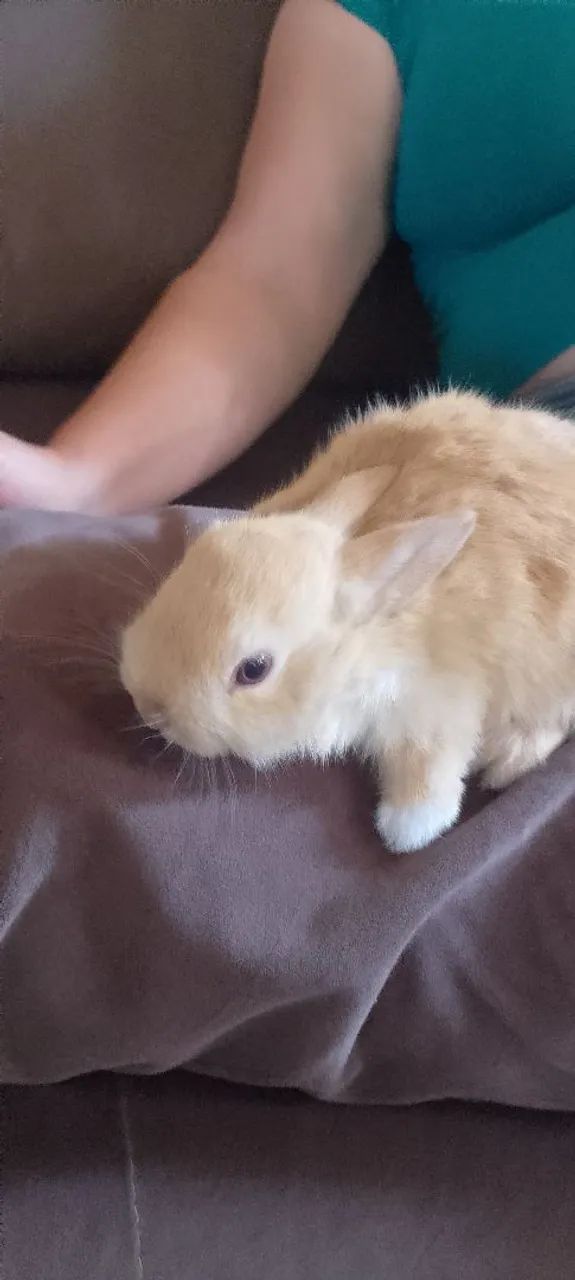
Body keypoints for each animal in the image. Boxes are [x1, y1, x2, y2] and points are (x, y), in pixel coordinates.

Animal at [120, 389, 575, 853]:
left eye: (254, 670)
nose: (150, 708)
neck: (358, 650)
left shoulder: (437, 702)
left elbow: (430, 765)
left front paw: (407, 829)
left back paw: (506, 761)